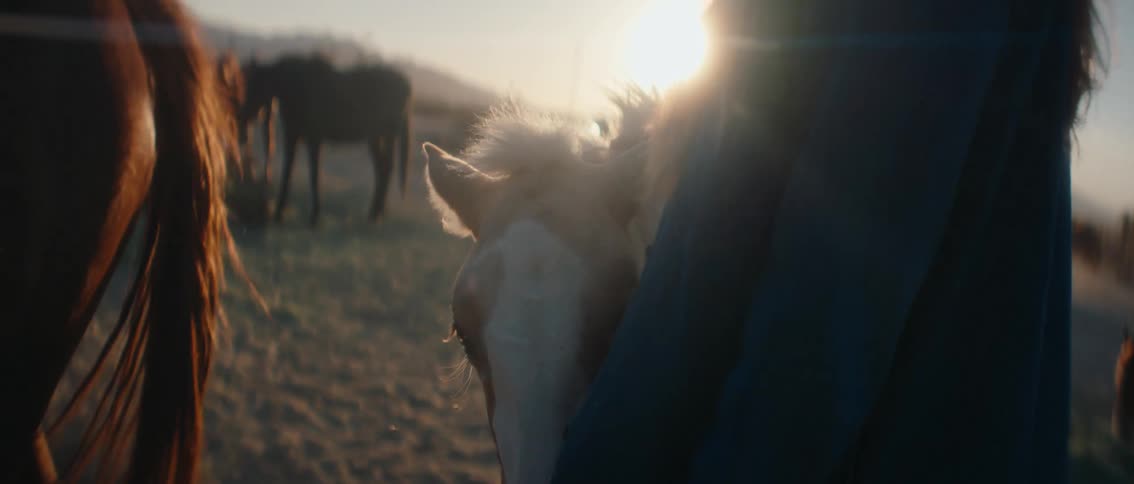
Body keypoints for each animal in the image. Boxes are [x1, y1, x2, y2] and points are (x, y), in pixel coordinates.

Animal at [241, 53, 413, 226]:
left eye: (255, 85)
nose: (243, 116)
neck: (299, 87)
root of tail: (405, 84)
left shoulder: (314, 140)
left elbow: (314, 175)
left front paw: (314, 216)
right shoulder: (292, 137)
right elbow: (287, 172)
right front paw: (279, 213)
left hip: (385, 136)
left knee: (385, 168)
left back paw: (376, 214)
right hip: (377, 137)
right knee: (382, 168)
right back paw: (376, 213)